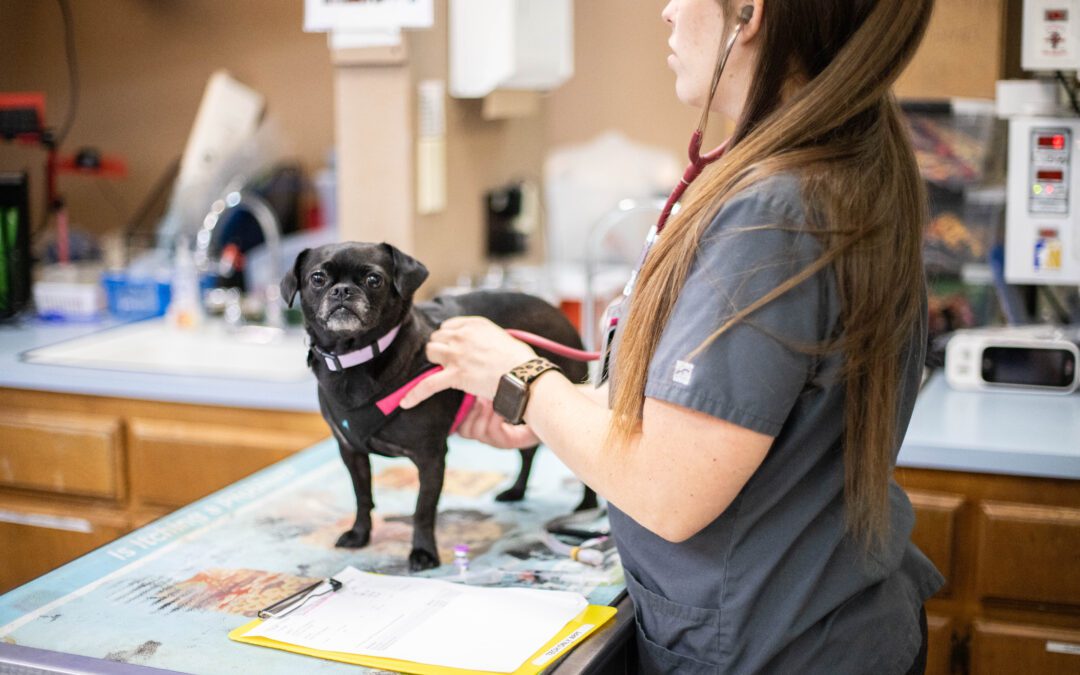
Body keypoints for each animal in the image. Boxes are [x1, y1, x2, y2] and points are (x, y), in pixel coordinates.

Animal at [282, 241, 596, 570]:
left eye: (374, 280)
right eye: (317, 278)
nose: (342, 291)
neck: (356, 360)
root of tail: (557, 313)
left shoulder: (430, 457)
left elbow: (423, 509)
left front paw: (423, 552)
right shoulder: (351, 451)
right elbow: (362, 496)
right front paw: (360, 534)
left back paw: (586, 506)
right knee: (527, 452)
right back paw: (517, 490)